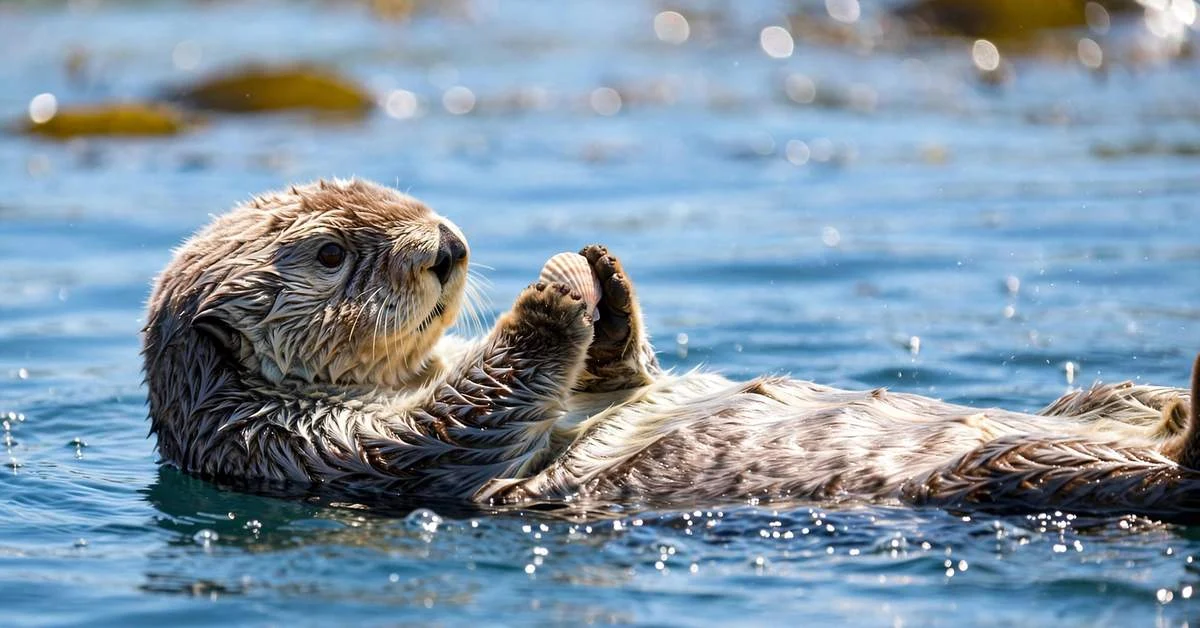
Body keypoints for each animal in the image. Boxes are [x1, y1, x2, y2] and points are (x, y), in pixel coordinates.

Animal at [143, 179, 1200, 520]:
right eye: (330, 251)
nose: (447, 243)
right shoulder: (324, 451)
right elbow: (459, 416)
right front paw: (553, 293)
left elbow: (618, 370)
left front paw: (604, 273)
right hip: (1013, 470)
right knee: (1160, 474)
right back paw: (1189, 411)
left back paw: (1162, 395)